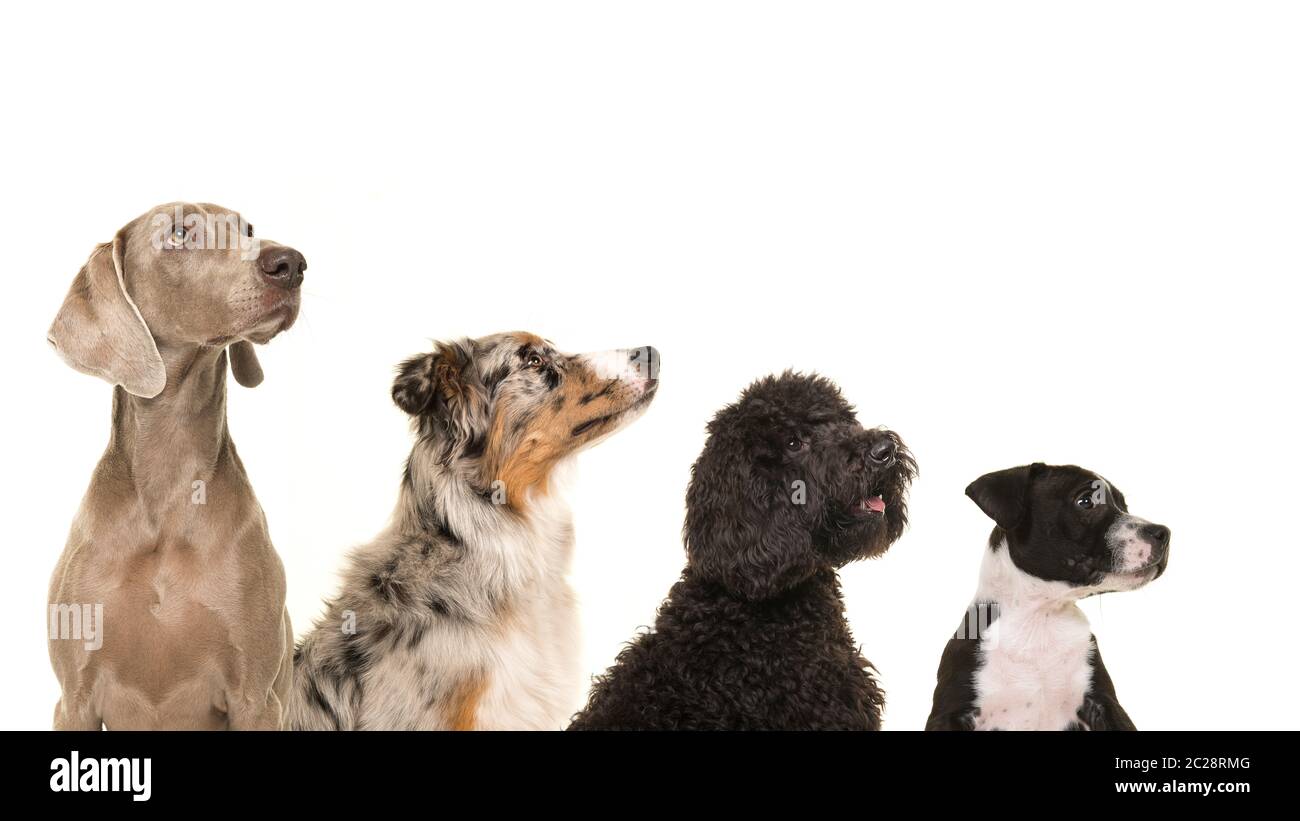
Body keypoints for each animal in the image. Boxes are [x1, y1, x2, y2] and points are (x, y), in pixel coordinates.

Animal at [930, 462, 1175, 732]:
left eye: (1124, 506)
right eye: (1086, 501)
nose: (1163, 532)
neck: (1040, 619)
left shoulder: (1105, 704)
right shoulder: (950, 712)